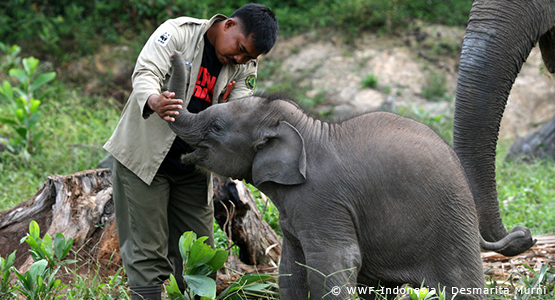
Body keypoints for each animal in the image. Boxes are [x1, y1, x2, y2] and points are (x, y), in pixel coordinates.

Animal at [167, 51, 516, 298]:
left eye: (216, 127)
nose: (177, 56)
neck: (309, 129)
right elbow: (291, 270)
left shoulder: (323, 202)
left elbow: (334, 265)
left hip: (452, 225)